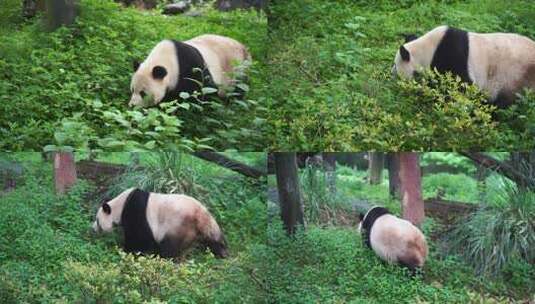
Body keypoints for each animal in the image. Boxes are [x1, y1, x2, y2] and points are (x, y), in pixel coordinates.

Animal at [92, 188, 230, 258]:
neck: (121, 204)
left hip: (178, 225)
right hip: (202, 227)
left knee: (170, 246)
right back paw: (221, 252)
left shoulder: (137, 212)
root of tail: (200, 214)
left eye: (98, 221)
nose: (92, 229)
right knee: (213, 240)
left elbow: (139, 237)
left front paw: (128, 250)